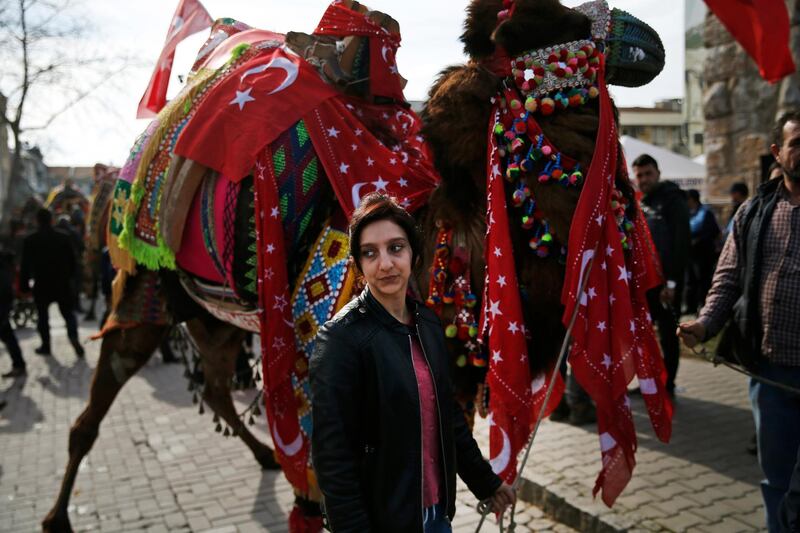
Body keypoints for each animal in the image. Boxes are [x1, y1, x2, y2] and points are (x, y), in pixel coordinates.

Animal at [42, 2, 668, 528]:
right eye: (550, 31)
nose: (641, 39)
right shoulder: (312, 371)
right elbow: (317, 497)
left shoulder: (453, 382)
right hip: (144, 290)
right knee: (91, 412)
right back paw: (55, 516)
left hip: (216, 319)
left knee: (217, 386)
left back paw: (262, 455)